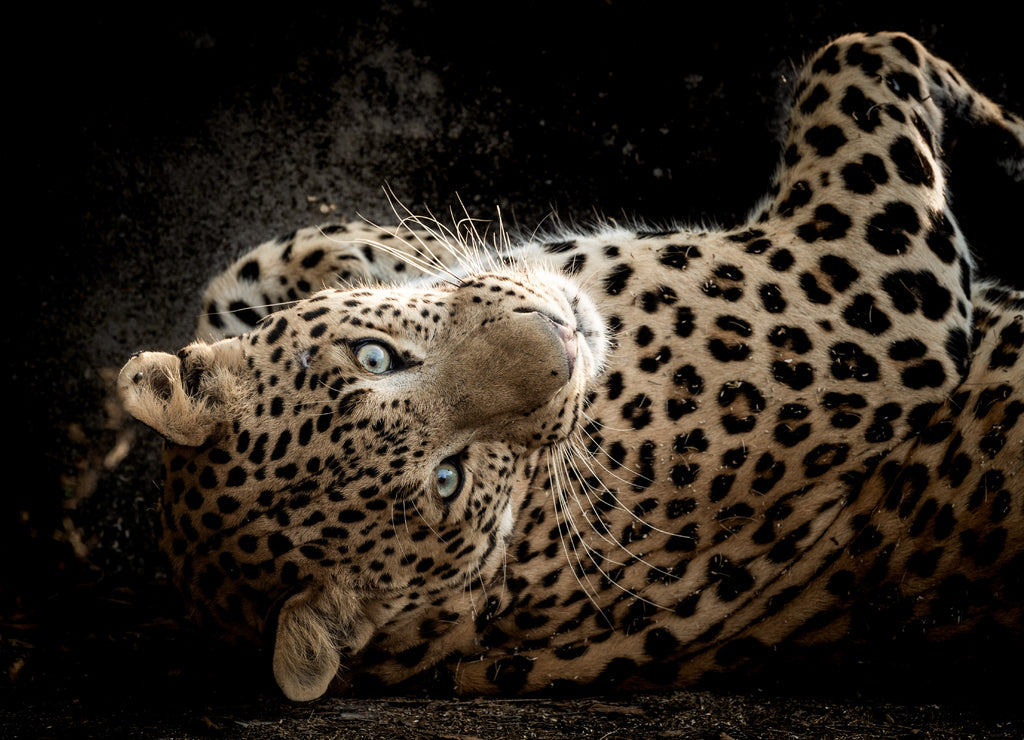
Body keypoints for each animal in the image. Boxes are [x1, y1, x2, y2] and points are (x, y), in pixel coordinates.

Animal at [118, 32, 1024, 702]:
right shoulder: (860, 298)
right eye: (450, 480)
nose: (561, 337)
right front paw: (1005, 125)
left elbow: (248, 273)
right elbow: (864, 52)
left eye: (375, 356)